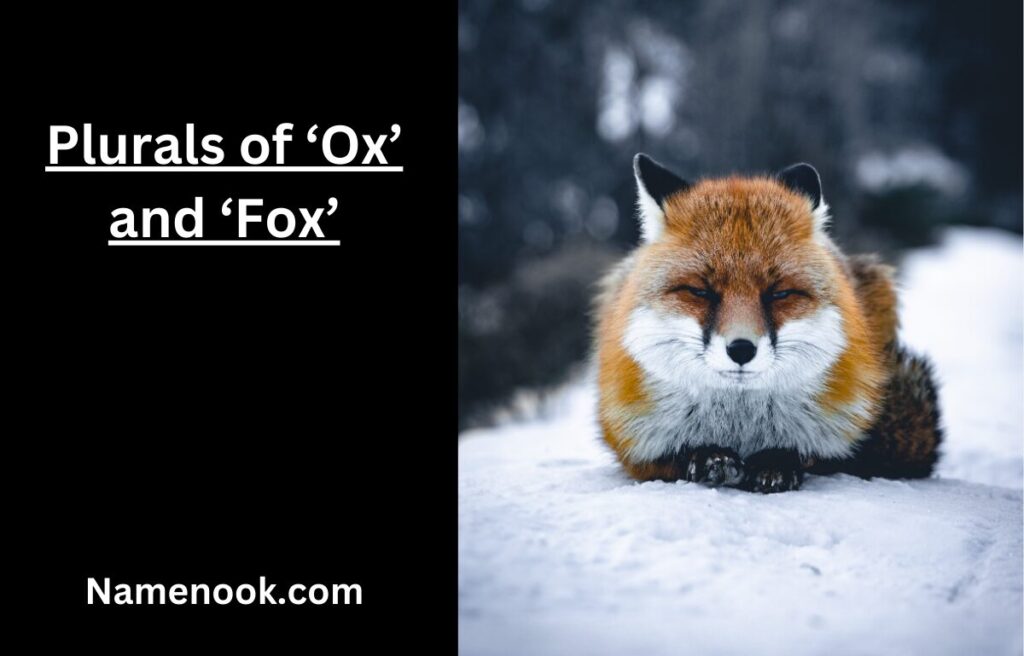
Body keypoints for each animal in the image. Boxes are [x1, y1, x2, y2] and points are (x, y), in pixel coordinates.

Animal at [593, 154, 942, 493]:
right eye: (700, 291)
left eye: (780, 293)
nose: (741, 349)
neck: (740, 426)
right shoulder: (633, 443)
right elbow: (674, 456)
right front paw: (709, 457)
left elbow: (808, 454)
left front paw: (776, 463)